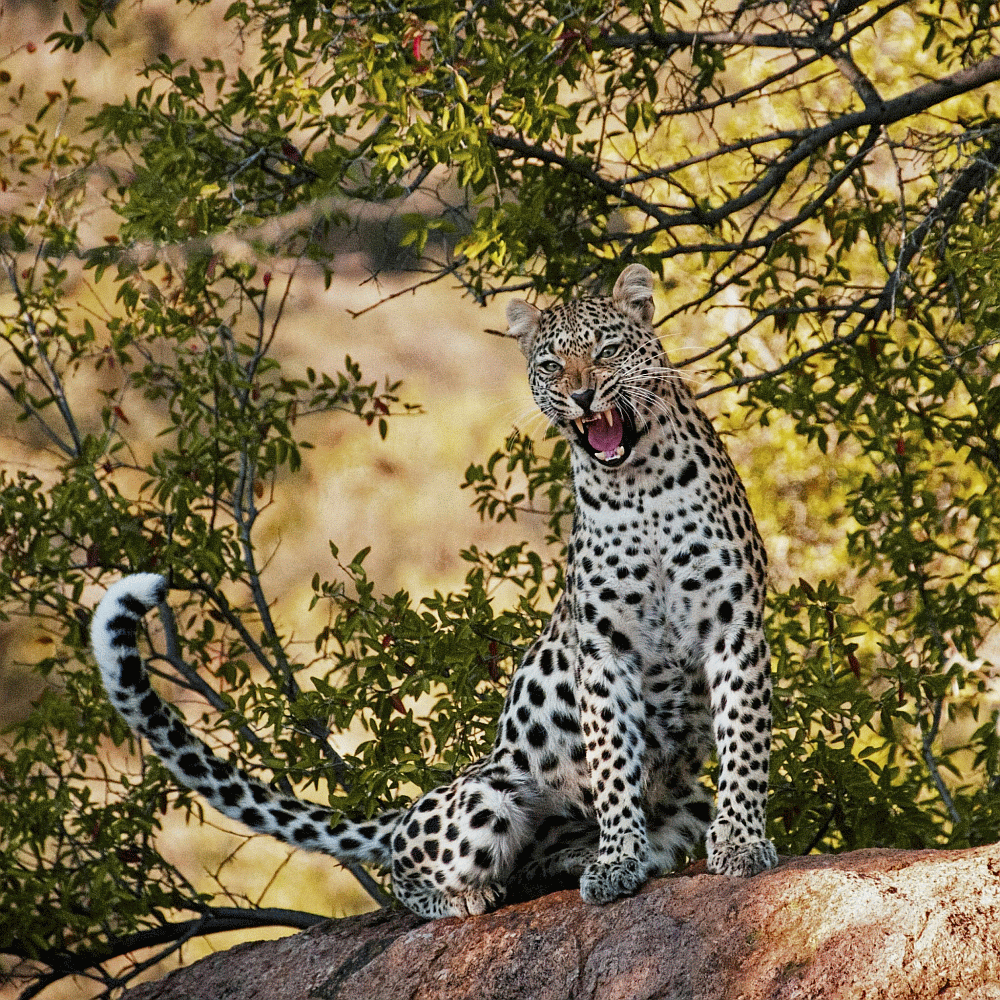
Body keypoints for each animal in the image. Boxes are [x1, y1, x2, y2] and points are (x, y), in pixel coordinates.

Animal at [91, 263, 778, 920]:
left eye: (607, 350)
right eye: (551, 366)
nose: (581, 395)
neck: (639, 484)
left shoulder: (733, 623)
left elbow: (744, 743)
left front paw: (742, 841)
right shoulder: (605, 648)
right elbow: (612, 763)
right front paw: (617, 861)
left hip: (685, 797)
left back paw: (574, 864)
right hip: (485, 797)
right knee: (407, 871)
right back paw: (473, 895)